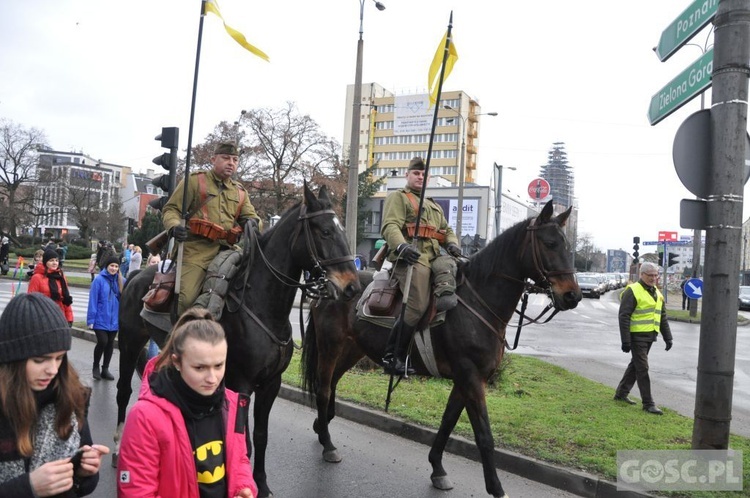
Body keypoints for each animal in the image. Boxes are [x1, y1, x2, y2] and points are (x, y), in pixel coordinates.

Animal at [114, 185, 362, 496]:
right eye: (325, 231)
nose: (353, 287)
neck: (261, 305)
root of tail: (136, 274)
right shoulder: (243, 385)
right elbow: (245, 440)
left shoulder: (270, 384)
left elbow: (261, 434)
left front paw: (262, 483)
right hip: (129, 342)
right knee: (123, 390)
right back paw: (118, 444)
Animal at [302, 201, 584, 498]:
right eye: (550, 243)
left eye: (567, 246)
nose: (572, 295)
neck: (478, 303)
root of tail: (328, 286)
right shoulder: (471, 378)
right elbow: (484, 435)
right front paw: (496, 488)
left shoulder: (466, 380)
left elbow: (448, 423)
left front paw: (437, 469)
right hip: (330, 346)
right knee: (323, 388)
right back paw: (328, 444)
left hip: (352, 350)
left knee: (331, 384)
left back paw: (321, 426)